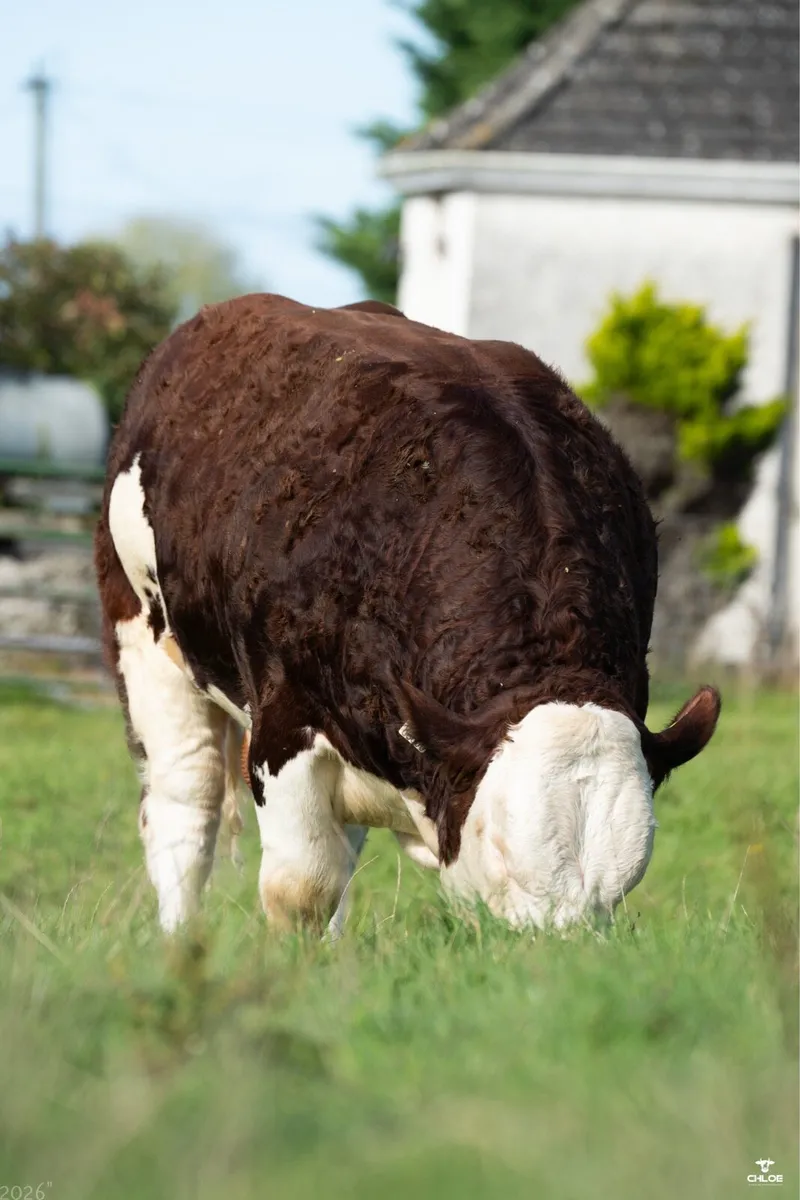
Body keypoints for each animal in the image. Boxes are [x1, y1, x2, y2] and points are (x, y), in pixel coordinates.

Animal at [94, 293, 720, 936]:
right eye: (499, 852)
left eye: (621, 886)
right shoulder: (285, 724)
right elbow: (301, 890)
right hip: (141, 637)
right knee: (185, 802)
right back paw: (180, 940)